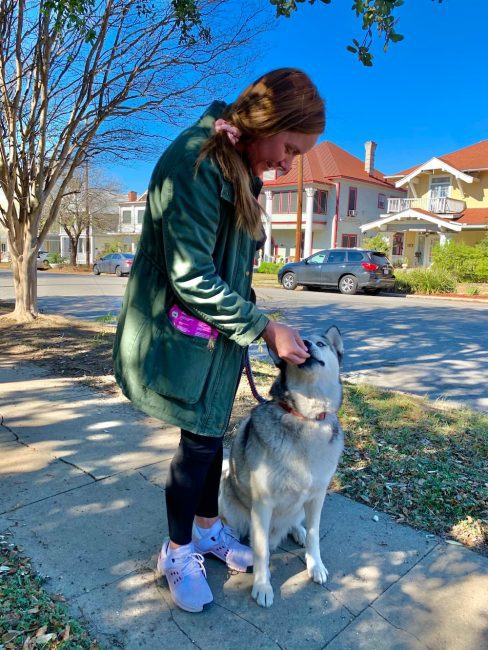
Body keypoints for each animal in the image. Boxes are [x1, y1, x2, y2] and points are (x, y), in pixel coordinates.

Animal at [219, 326, 346, 604]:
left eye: (321, 343)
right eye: (302, 341)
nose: (307, 344)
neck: (307, 419)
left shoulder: (317, 497)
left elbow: (314, 535)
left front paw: (315, 565)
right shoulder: (263, 504)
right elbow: (261, 551)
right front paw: (262, 586)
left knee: (297, 522)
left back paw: (297, 530)